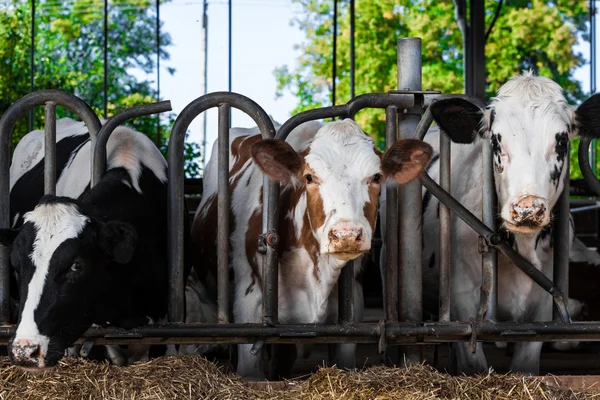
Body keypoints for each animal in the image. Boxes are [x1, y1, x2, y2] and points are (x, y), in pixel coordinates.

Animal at [382, 71, 600, 376]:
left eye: (561, 141)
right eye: (496, 141)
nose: (527, 209)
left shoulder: (543, 309)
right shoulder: (462, 303)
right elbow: (472, 362)